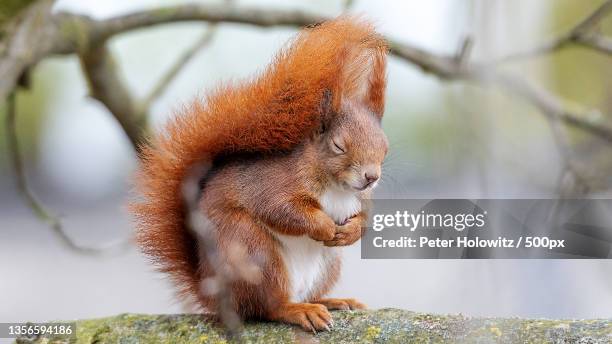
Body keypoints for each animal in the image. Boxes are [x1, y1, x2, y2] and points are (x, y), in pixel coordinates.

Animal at [132, 16, 390, 334]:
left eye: (385, 147)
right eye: (339, 146)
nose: (371, 177)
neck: (336, 187)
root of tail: (215, 296)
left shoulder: (361, 199)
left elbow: (365, 217)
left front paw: (350, 232)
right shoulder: (272, 185)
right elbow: (281, 209)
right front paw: (324, 226)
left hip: (327, 264)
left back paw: (333, 301)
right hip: (252, 251)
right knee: (268, 306)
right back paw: (300, 310)